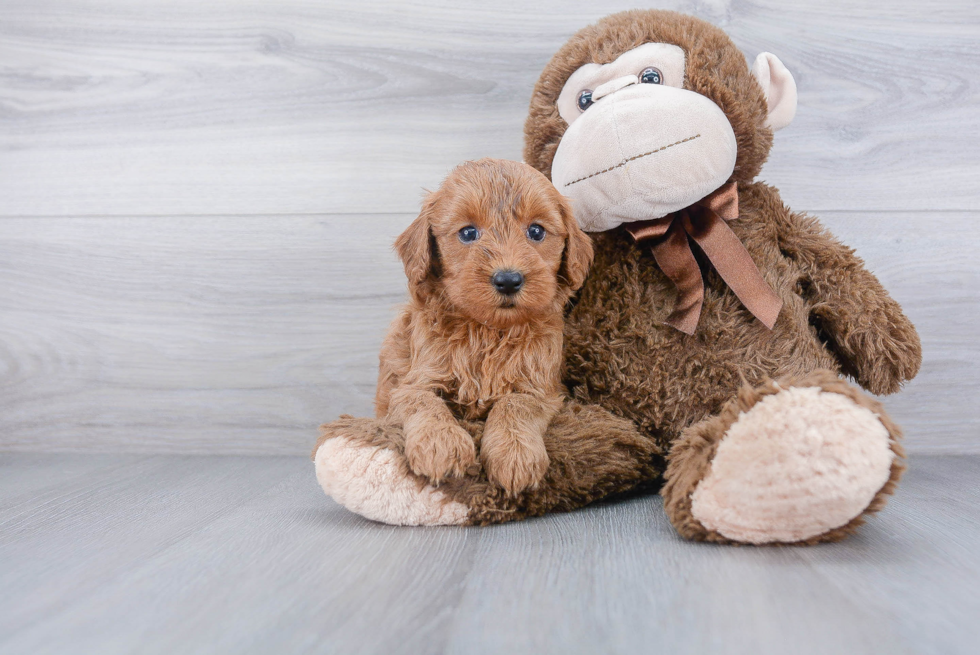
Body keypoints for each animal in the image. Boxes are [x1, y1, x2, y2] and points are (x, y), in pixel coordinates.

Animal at [374, 160, 588, 498]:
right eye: (468, 233)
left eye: (536, 231)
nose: (508, 280)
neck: (488, 330)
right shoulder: (413, 382)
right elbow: (425, 402)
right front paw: (441, 444)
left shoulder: (540, 387)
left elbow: (515, 404)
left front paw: (515, 454)